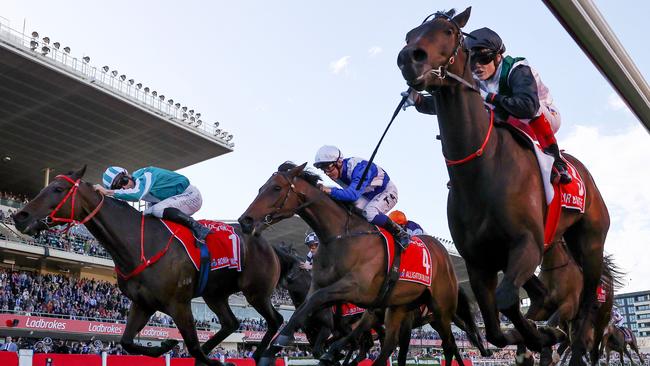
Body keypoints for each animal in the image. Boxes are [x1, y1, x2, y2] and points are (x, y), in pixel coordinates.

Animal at [11, 167, 282, 364]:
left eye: (57, 189)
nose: (20, 217)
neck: (140, 244)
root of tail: (269, 243)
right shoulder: (142, 303)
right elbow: (127, 342)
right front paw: (166, 344)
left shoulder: (179, 303)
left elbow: (192, 346)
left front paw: (214, 360)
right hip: (215, 294)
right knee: (232, 323)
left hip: (256, 293)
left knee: (276, 320)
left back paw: (260, 353)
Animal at [238, 162, 480, 366]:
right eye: (261, 188)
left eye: (277, 188)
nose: (245, 220)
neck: (340, 238)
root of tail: (444, 257)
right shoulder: (323, 293)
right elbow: (303, 311)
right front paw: (273, 349)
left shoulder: (356, 289)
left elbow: (319, 304)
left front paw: (284, 342)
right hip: (398, 307)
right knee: (390, 345)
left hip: (441, 309)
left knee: (448, 344)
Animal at [394, 7, 608, 364]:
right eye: (409, 34)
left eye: (448, 31)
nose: (409, 58)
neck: (482, 170)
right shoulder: (478, 262)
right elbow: (494, 327)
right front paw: (534, 336)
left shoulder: (527, 243)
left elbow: (508, 300)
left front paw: (542, 335)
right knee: (543, 295)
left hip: (590, 241)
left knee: (588, 299)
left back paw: (573, 345)